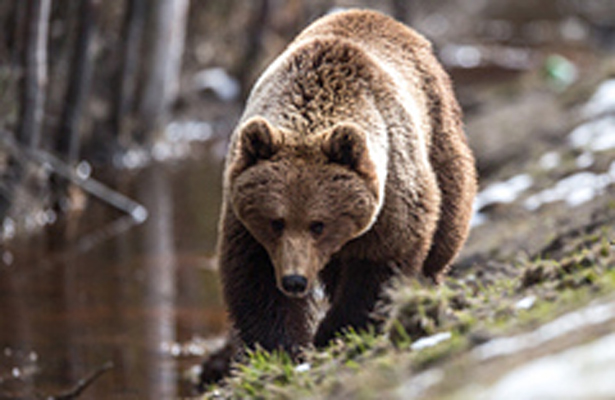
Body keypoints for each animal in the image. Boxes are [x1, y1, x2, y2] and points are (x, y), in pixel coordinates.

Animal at [219, 8, 478, 354]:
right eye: (276, 221)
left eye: (318, 224)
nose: (294, 281)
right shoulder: (245, 214)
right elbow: (254, 277)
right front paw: (283, 343)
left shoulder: (392, 189)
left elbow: (381, 264)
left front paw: (336, 329)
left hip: (438, 130)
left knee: (447, 220)